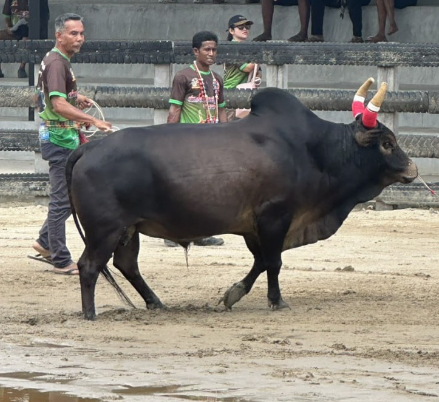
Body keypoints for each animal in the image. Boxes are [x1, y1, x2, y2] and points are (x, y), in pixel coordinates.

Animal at [66, 79, 418, 320]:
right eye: (387, 143)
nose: (412, 169)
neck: (316, 150)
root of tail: (89, 147)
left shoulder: (253, 226)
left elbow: (261, 261)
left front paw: (233, 294)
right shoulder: (275, 216)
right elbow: (274, 262)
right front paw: (276, 300)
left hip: (130, 229)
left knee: (126, 265)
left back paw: (156, 303)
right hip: (105, 229)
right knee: (89, 266)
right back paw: (90, 314)